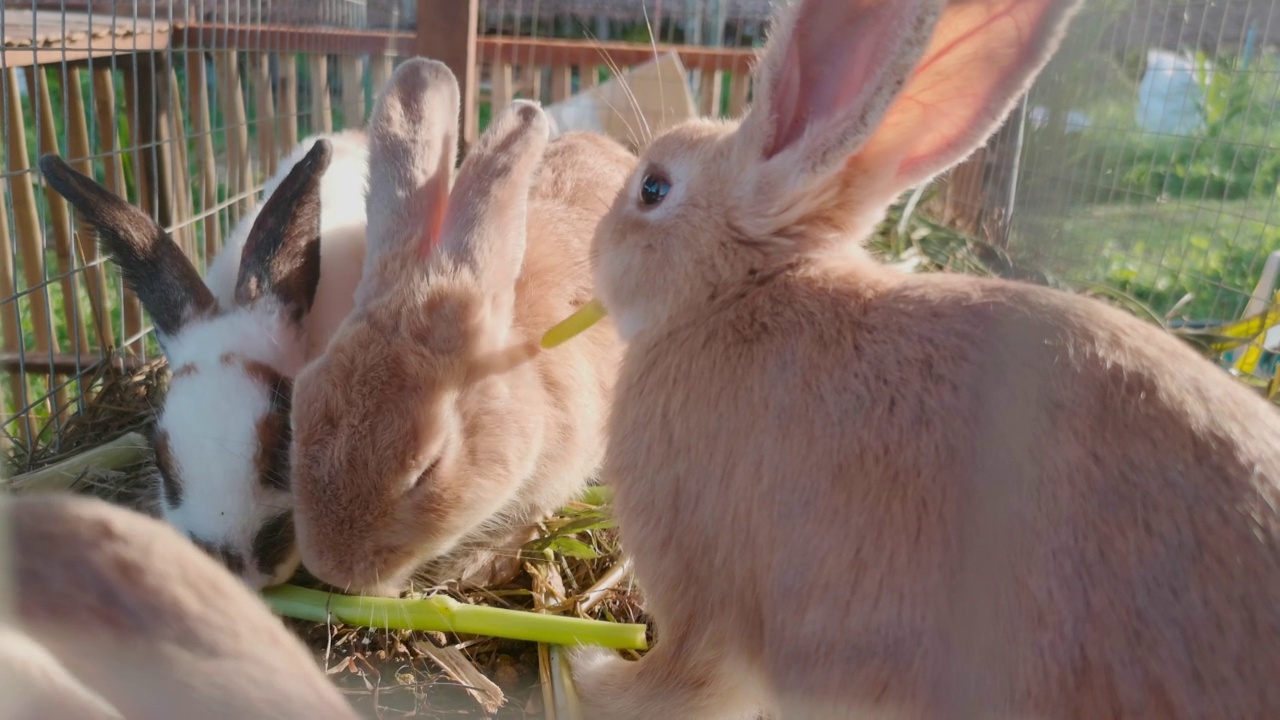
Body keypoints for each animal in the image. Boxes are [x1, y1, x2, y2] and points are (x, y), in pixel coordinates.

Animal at [565, 1, 1280, 717]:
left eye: (653, 188)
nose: (594, 243)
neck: (738, 293)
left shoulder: (698, 589)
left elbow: (679, 681)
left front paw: (588, 670)